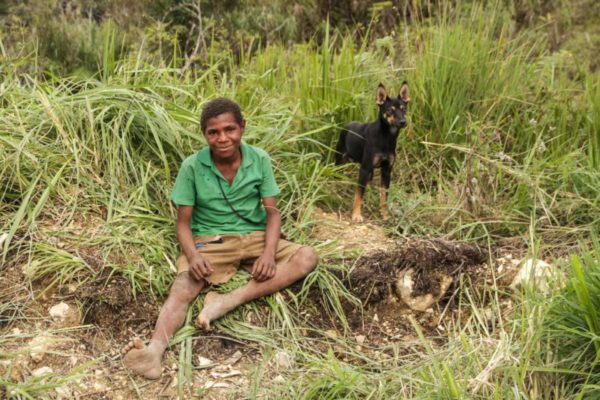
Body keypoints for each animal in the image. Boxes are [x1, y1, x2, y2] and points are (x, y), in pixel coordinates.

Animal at [336, 83, 410, 223]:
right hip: (339, 159)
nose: (403, 122)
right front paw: (356, 215)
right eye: (390, 110)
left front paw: (384, 214)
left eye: (404, 110)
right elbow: (359, 194)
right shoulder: (364, 169)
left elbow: (384, 196)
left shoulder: (386, 171)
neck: (386, 138)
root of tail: (347, 125)